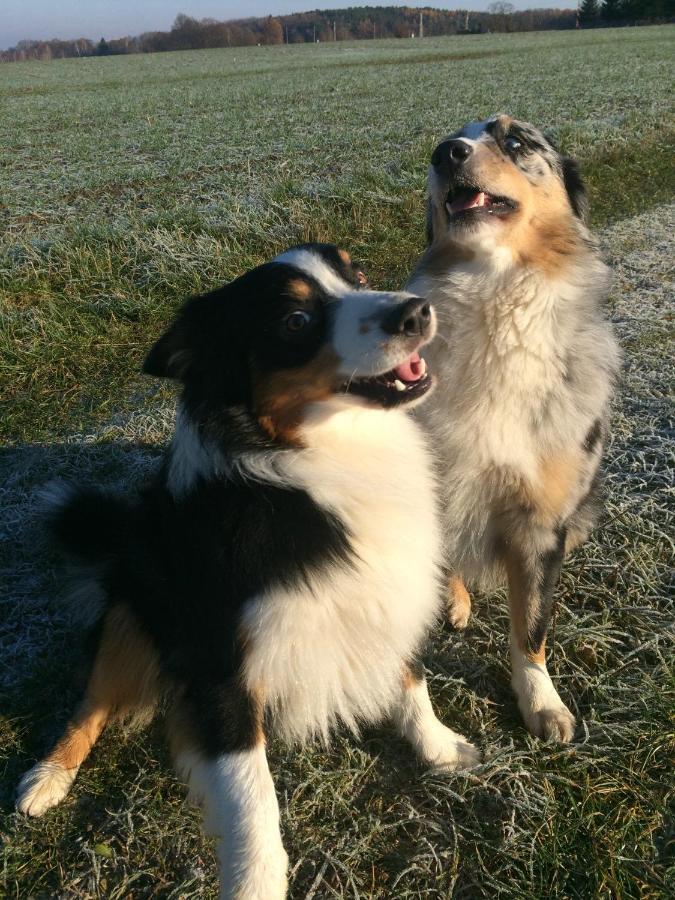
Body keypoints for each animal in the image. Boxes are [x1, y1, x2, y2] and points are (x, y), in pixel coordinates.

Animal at [17, 243, 480, 896]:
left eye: (358, 275)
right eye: (295, 321)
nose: (417, 312)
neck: (314, 462)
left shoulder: (389, 589)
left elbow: (411, 678)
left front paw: (439, 747)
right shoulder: (223, 669)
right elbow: (250, 795)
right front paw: (257, 881)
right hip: (131, 612)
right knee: (91, 700)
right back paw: (46, 777)